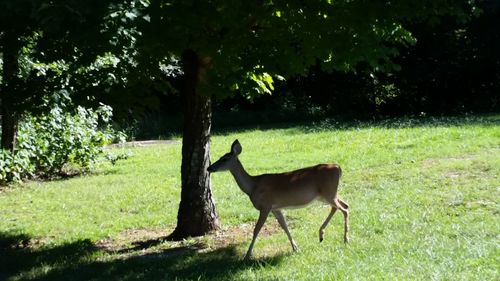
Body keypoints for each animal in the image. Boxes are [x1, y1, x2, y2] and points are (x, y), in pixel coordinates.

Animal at [206, 139, 348, 260]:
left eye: (224, 159)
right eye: (220, 157)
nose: (209, 168)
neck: (253, 186)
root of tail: (338, 167)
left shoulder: (266, 206)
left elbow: (256, 230)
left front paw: (247, 255)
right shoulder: (276, 208)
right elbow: (285, 226)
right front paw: (295, 247)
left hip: (328, 193)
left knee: (343, 208)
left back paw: (345, 238)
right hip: (328, 194)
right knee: (343, 205)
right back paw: (321, 235)